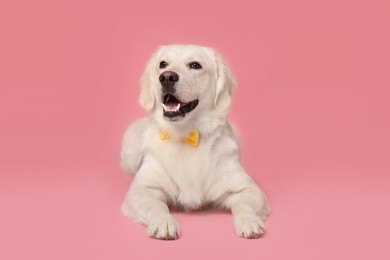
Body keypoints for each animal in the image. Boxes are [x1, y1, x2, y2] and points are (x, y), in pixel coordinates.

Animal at [120, 44, 270, 240]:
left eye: (195, 65)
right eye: (163, 64)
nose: (166, 77)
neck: (185, 135)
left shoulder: (248, 189)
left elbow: (243, 205)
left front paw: (248, 221)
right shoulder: (140, 190)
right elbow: (157, 205)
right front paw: (164, 222)